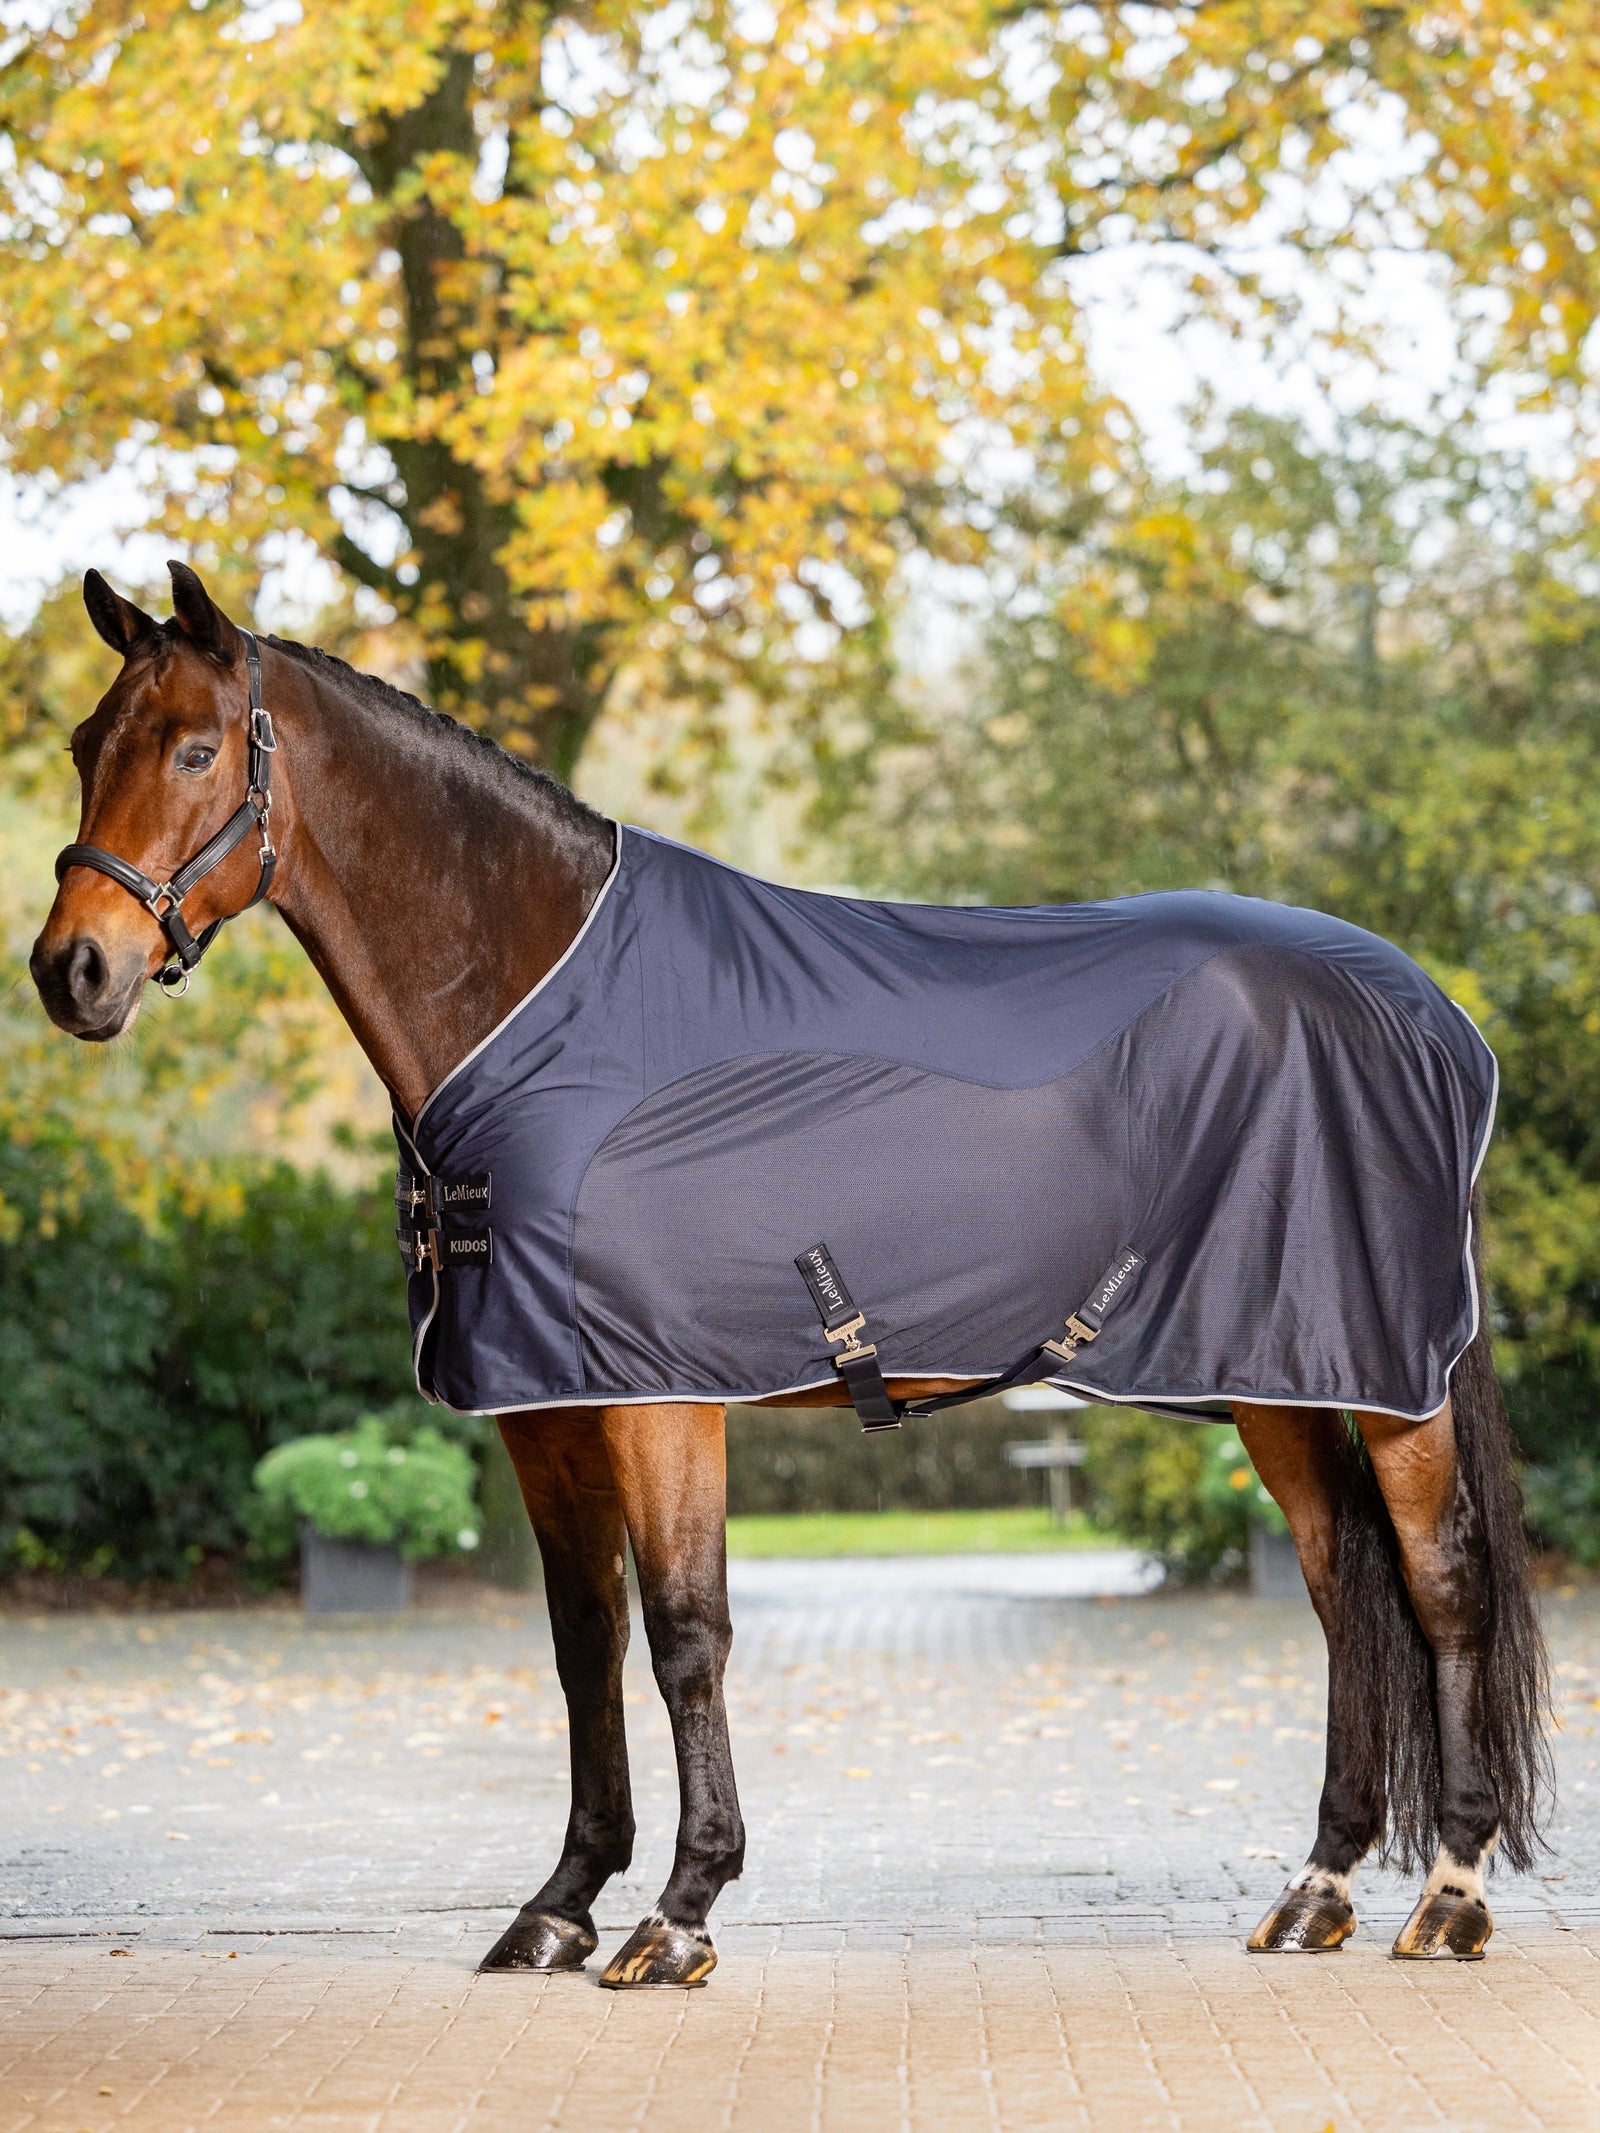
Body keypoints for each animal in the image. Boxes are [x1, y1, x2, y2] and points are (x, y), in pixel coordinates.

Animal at [30, 561, 1550, 1986]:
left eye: (194, 751)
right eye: (84, 741)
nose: (72, 971)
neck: (549, 1013)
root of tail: (1434, 1016)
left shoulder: (657, 1397)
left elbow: (683, 1633)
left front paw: (680, 1912)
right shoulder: (547, 1410)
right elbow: (583, 1642)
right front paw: (561, 1903)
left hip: (1387, 1378)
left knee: (1441, 1578)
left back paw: (1449, 1894)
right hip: (1278, 1373)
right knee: (1342, 1582)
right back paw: (1318, 1888)